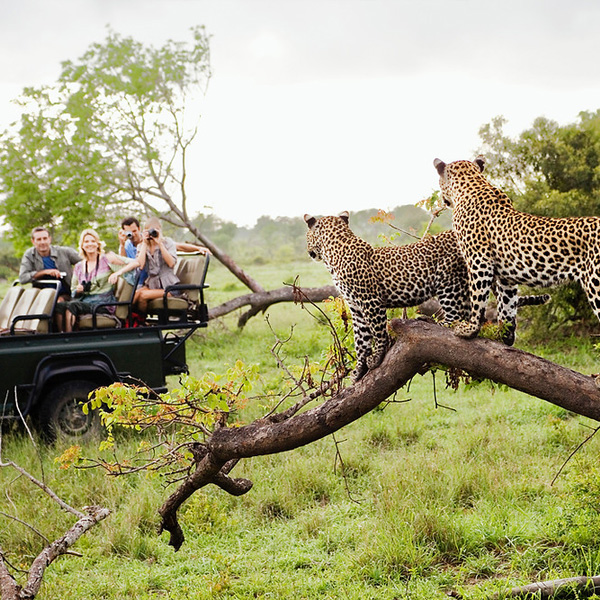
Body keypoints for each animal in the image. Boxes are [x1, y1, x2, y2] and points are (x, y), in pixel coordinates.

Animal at [304, 211, 548, 380]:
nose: (309, 252)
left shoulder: (370, 302)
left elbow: (378, 332)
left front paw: (377, 357)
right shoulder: (355, 308)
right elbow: (361, 340)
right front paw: (358, 370)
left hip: (448, 281)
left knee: (455, 316)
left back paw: (434, 322)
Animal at [434, 155, 600, 340]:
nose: (443, 200)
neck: (472, 184)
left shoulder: (479, 260)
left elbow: (478, 297)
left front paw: (469, 329)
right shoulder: (506, 277)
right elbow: (507, 304)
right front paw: (505, 335)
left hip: (596, 283)